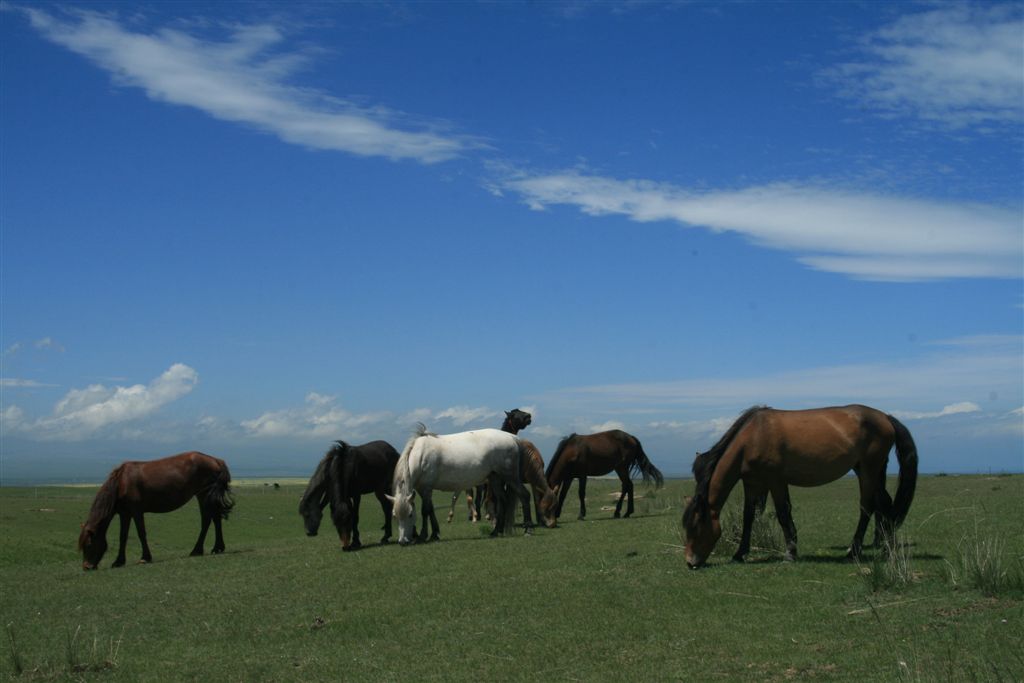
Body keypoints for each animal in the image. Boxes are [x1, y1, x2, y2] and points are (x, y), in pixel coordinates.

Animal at [77, 448, 234, 573]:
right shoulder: (125, 514)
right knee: (215, 518)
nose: (86, 567)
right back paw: (215, 548)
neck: (121, 483)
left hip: (204, 495)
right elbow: (123, 536)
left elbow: (141, 533)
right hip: (205, 496)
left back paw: (200, 549)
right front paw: (119, 561)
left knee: (208, 519)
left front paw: (145, 558)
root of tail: (216, 460)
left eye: (89, 545)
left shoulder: (136, 512)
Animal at [387, 423, 524, 548]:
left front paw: (422, 536)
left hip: (509, 477)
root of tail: (512, 437)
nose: (403, 541)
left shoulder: (427, 489)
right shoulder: (422, 489)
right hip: (495, 478)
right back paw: (497, 531)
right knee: (503, 501)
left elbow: (425, 511)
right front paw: (434, 534)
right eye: (394, 515)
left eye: (410, 514)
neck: (421, 455)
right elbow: (431, 510)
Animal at [679, 403, 921, 569]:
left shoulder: (775, 481)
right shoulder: (752, 483)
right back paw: (886, 545)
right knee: (884, 504)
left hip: (870, 469)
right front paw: (740, 553)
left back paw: (855, 551)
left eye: (696, 526)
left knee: (867, 507)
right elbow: (748, 516)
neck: (751, 438)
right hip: (866, 469)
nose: (690, 562)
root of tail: (885, 417)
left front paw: (790, 552)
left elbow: (783, 513)